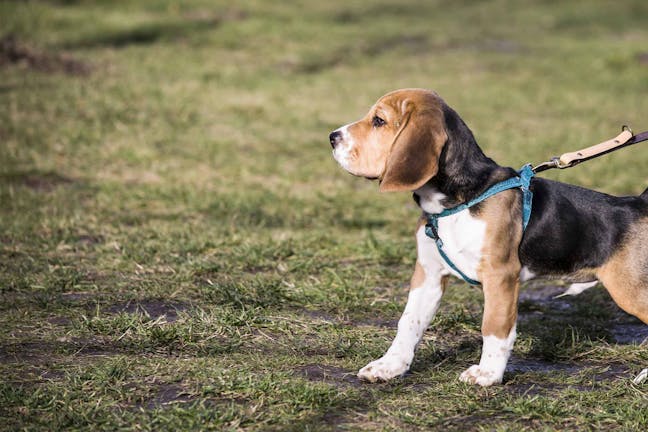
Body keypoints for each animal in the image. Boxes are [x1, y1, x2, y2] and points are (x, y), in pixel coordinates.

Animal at [330, 88, 648, 384]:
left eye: (379, 121)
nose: (332, 137)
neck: (457, 200)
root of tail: (638, 203)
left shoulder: (500, 276)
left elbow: (494, 327)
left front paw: (488, 374)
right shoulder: (428, 274)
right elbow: (409, 323)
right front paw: (390, 366)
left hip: (630, 292)